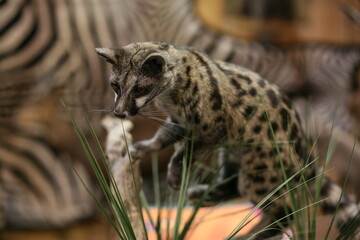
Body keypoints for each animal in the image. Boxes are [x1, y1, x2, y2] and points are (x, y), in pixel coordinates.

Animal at [0, 0, 358, 229]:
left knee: (284, 211)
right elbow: (163, 139)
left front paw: (173, 171)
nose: (119, 113)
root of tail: (301, 143)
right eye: (115, 85)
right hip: (235, 155)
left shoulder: (209, 128)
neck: (168, 95)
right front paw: (144, 149)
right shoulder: (177, 123)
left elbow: (183, 151)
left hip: (260, 166)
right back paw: (204, 192)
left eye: (139, 88)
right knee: (235, 185)